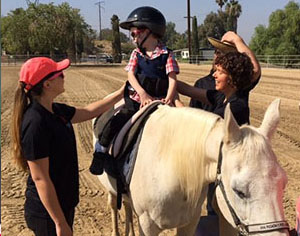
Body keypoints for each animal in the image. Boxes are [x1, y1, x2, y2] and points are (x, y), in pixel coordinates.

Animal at [95, 99, 290, 236]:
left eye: (284, 183)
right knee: (114, 206)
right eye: (239, 191)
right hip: (111, 191)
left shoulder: (189, 223)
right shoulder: (148, 225)